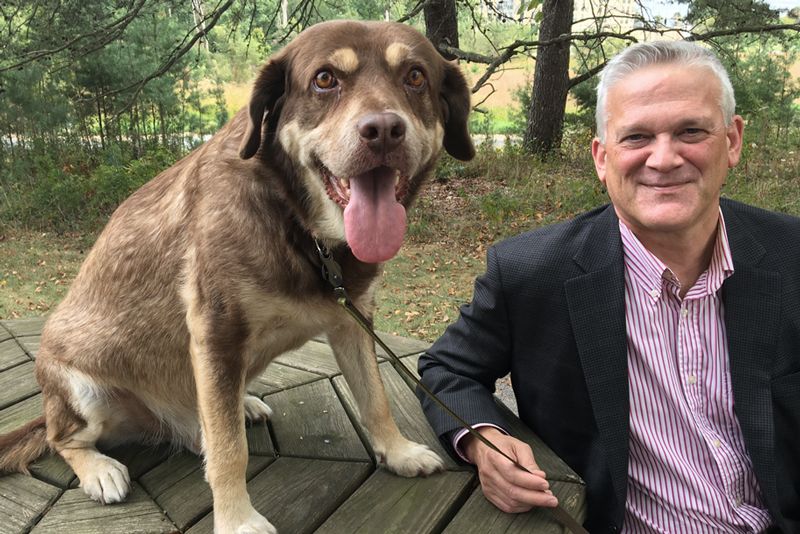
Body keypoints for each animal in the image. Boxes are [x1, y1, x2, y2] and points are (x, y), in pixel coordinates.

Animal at [0, 19, 476, 534]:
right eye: (324, 79)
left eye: (415, 76)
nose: (384, 130)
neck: (301, 229)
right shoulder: (217, 334)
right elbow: (230, 452)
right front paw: (237, 520)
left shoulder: (353, 319)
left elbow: (375, 396)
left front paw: (398, 450)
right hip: (81, 390)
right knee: (63, 437)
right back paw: (98, 468)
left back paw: (240, 404)